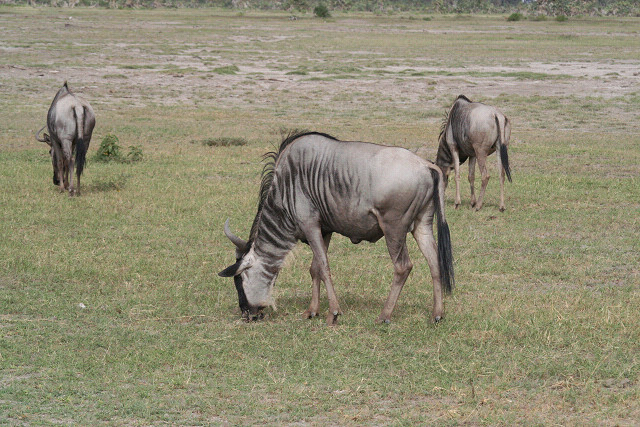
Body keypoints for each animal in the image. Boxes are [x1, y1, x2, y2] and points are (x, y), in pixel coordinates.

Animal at [220, 132, 456, 326]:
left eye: (239, 280)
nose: (246, 314)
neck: (286, 187)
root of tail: (426, 165)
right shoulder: (324, 230)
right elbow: (314, 268)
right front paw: (312, 311)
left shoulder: (309, 225)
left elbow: (324, 268)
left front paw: (333, 313)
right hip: (422, 226)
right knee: (435, 263)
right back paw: (437, 314)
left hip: (394, 229)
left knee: (402, 267)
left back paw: (384, 315)